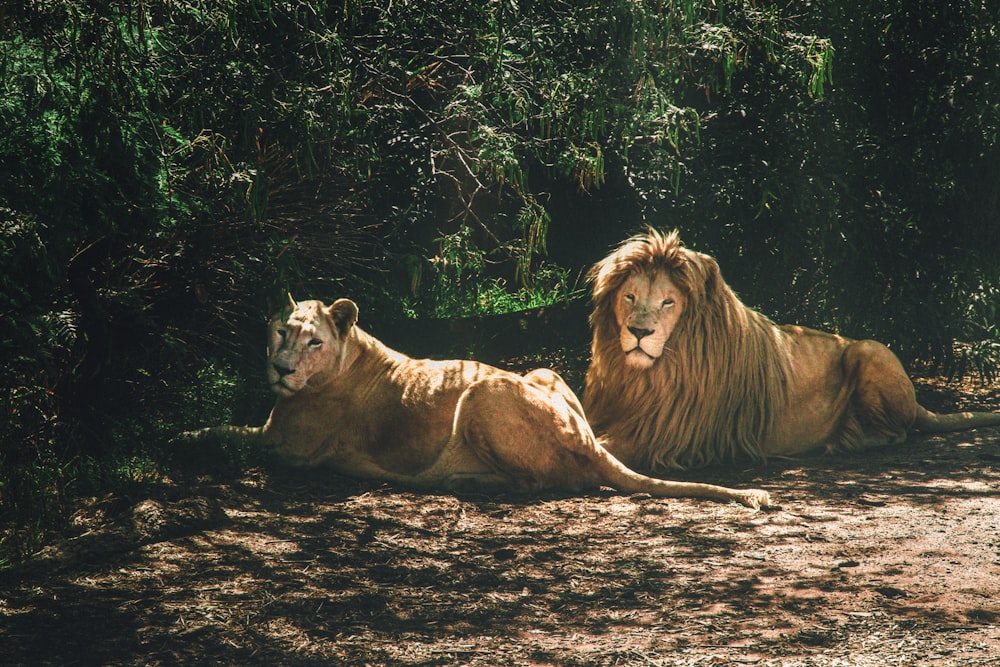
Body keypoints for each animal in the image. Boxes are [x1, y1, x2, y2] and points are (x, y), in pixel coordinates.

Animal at [182, 294, 772, 508]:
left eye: (313, 342)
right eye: (281, 332)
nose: (281, 370)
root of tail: (587, 439)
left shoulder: (288, 445)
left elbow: (223, 430)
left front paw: (177, 437)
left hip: (481, 392)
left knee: (543, 484)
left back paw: (461, 481)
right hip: (544, 372)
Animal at [584, 230, 1000, 470]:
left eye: (668, 302)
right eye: (630, 297)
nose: (639, 331)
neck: (645, 377)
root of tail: (917, 401)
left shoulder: (666, 437)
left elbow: (604, 447)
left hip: (868, 350)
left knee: (895, 433)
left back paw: (843, 440)